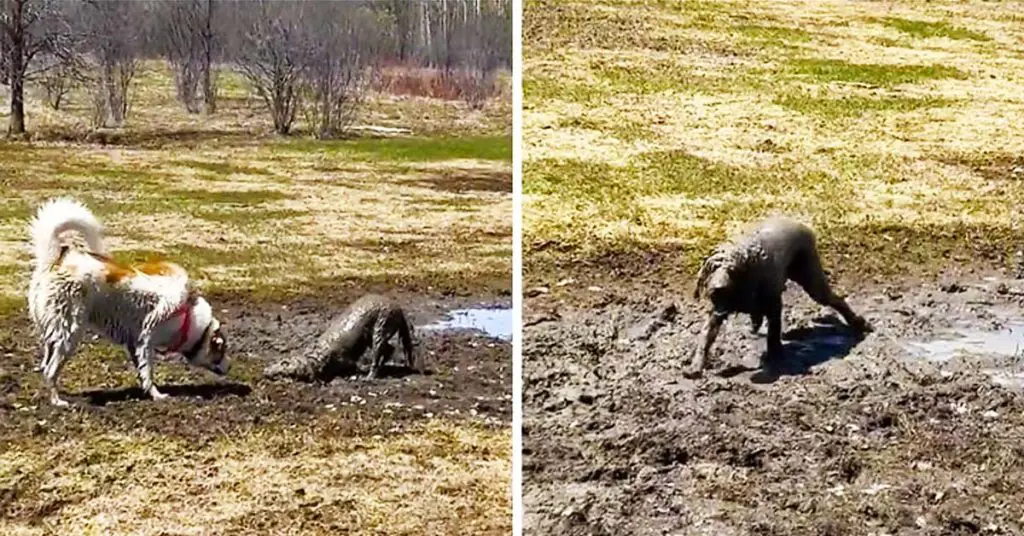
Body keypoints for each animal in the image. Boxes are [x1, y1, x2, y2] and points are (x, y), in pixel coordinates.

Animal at [27, 197, 229, 407]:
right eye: (222, 350)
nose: (229, 368)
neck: (188, 317)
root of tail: (54, 262)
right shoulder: (147, 340)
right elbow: (148, 371)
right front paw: (157, 395)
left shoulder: (136, 342)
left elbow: (142, 372)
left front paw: (147, 391)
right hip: (70, 332)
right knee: (50, 370)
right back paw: (57, 400)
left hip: (55, 332)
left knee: (45, 364)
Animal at [688, 217, 872, 377]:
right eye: (712, 268)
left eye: (732, 270)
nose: (718, 288)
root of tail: (802, 225)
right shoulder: (718, 309)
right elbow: (706, 336)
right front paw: (695, 367)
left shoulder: (773, 301)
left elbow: (774, 331)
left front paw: (775, 356)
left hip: (811, 277)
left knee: (835, 299)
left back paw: (860, 323)